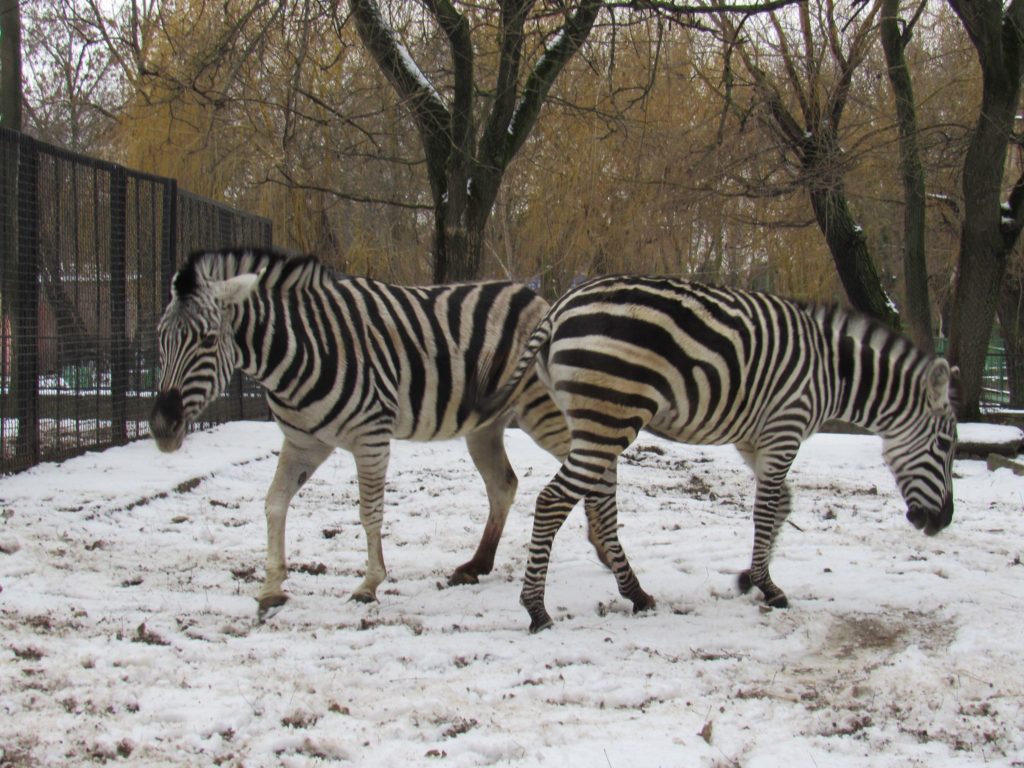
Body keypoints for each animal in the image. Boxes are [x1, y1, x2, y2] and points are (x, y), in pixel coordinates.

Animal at [151, 249, 606, 622]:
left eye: (208, 339)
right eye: (160, 337)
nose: (160, 426)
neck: (299, 348)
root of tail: (536, 297)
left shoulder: (370, 437)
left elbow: (369, 512)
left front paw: (368, 585)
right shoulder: (305, 442)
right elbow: (274, 503)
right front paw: (271, 589)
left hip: (542, 410)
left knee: (596, 466)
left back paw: (602, 546)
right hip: (485, 425)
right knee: (503, 484)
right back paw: (477, 565)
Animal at [475, 274, 954, 630]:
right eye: (947, 445)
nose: (942, 521)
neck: (834, 373)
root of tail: (559, 307)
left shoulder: (756, 441)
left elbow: (782, 505)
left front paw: (748, 578)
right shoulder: (786, 428)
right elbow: (767, 510)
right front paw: (768, 586)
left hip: (593, 421)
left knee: (599, 504)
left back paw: (636, 594)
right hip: (610, 415)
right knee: (553, 500)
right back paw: (537, 609)